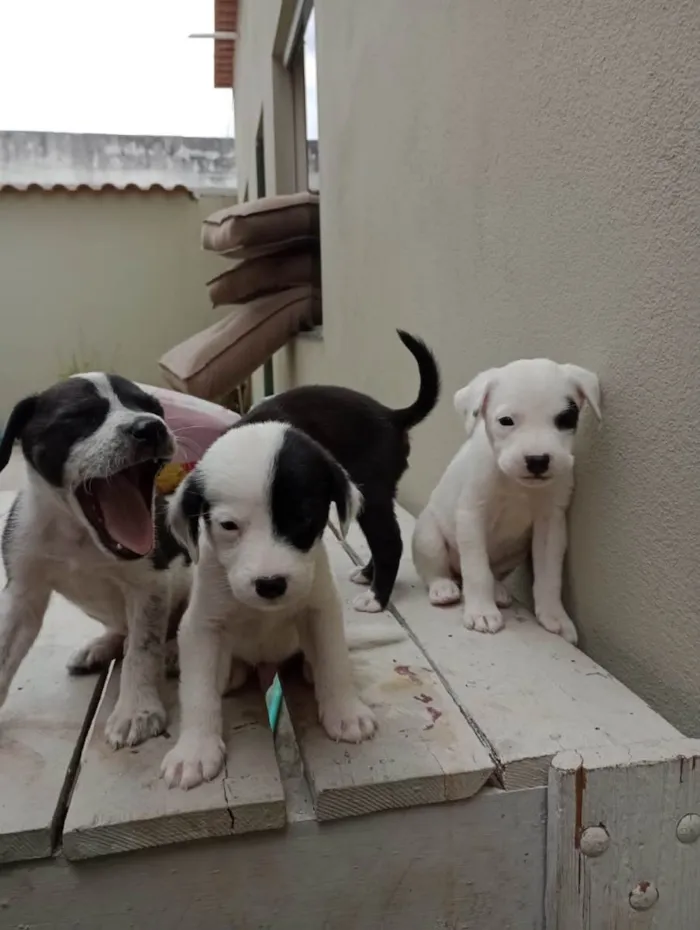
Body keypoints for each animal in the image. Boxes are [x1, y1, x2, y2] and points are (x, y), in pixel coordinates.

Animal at [0, 372, 191, 748]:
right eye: (80, 417)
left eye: (152, 407)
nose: (151, 427)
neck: (79, 534)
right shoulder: (22, 595)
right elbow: (3, 652)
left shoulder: (150, 585)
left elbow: (142, 649)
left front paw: (136, 710)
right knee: (121, 629)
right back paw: (100, 647)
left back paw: (173, 650)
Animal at [410, 358, 600, 644]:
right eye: (506, 421)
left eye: (566, 419)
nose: (537, 460)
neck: (516, 484)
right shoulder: (471, 515)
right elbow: (476, 569)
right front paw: (481, 612)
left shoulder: (551, 524)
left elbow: (549, 575)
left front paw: (555, 616)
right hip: (428, 536)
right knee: (435, 569)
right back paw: (443, 587)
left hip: (514, 551)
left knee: (494, 572)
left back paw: (497, 590)